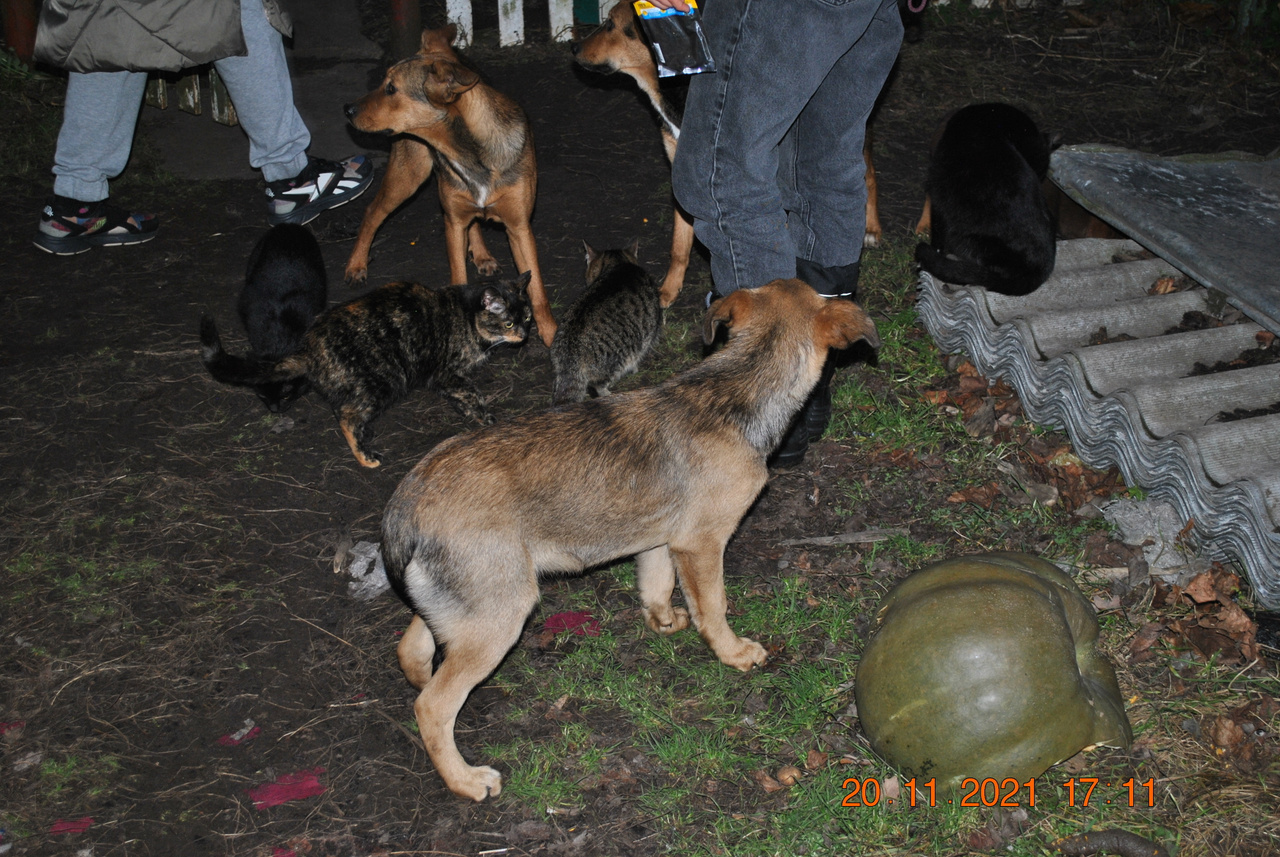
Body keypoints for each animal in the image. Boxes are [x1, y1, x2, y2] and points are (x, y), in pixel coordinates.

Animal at [201, 272, 532, 468]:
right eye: (508, 323)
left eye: (527, 317)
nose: (525, 335)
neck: (466, 317)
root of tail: (308, 348)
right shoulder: (447, 372)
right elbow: (472, 393)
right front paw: (486, 418)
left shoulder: (445, 379)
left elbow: (460, 397)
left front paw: (469, 414)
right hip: (384, 380)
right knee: (346, 416)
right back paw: (365, 456)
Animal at [344, 26, 557, 346]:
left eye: (391, 89)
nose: (347, 109)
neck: (471, 153)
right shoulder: (453, 223)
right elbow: (458, 276)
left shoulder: (519, 226)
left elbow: (538, 290)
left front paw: (551, 333)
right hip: (407, 177)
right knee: (372, 212)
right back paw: (356, 265)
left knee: (475, 221)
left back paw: (482, 254)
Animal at [380, 278, 880, 801]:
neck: (736, 390)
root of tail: (408, 500)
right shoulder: (701, 544)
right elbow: (714, 607)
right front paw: (733, 653)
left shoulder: (659, 540)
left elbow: (657, 586)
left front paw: (663, 621)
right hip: (501, 614)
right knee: (432, 706)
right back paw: (466, 780)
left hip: (473, 605)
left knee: (414, 648)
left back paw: (421, 678)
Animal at [550, 242, 663, 405]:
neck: (618, 264)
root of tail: (571, 351)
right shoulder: (647, 335)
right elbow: (639, 354)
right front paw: (635, 368)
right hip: (615, 361)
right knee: (597, 384)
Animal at [915, 102, 1057, 297]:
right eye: (1037, 173)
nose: (1036, 179)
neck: (990, 120)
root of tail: (1038, 271)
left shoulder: (938, 199)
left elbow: (937, 236)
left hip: (965, 239)